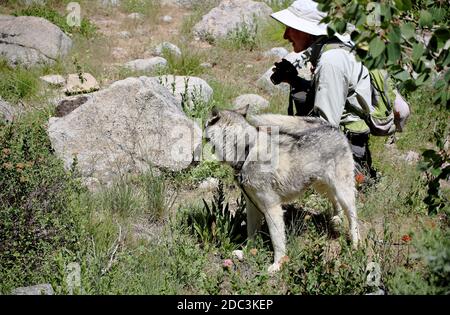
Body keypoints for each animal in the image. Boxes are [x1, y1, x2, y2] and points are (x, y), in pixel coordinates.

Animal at [206, 107, 360, 274]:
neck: (247, 151)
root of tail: (332, 127)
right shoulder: (252, 205)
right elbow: (251, 232)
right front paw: (247, 251)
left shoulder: (272, 209)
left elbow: (277, 241)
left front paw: (278, 264)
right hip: (321, 186)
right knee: (335, 200)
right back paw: (336, 219)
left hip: (342, 191)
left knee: (353, 216)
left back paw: (356, 243)